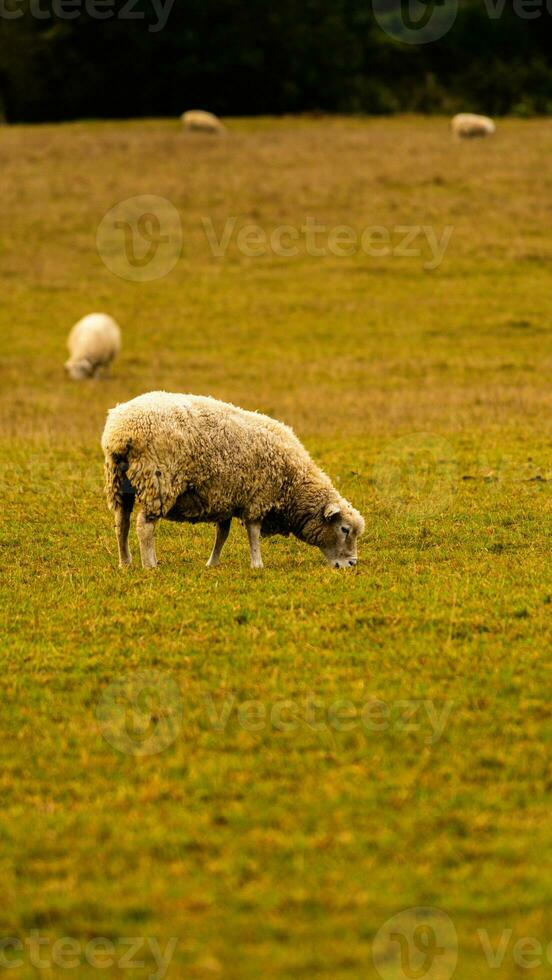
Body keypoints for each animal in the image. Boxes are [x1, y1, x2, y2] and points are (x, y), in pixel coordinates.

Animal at [101, 390, 364, 572]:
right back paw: (149, 564)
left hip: (119, 483)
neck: (294, 483)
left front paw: (212, 563)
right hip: (158, 481)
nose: (351, 564)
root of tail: (119, 432)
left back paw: (125, 562)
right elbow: (253, 533)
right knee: (144, 526)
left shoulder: (225, 498)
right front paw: (257, 564)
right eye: (344, 529)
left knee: (121, 524)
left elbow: (222, 534)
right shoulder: (259, 497)